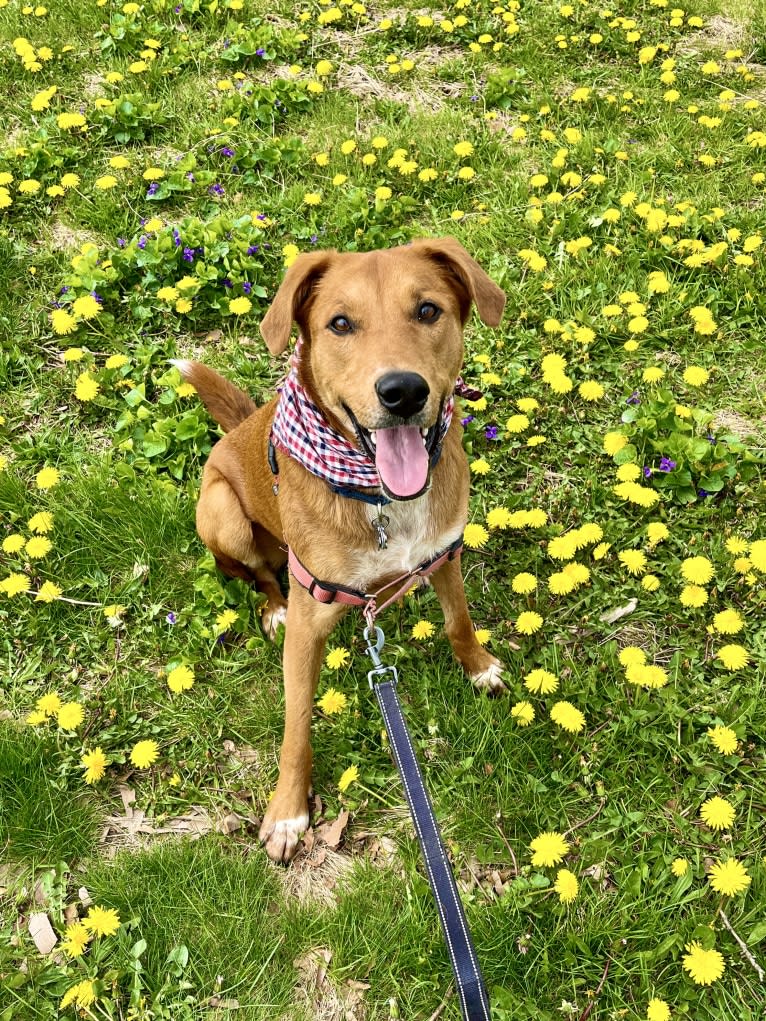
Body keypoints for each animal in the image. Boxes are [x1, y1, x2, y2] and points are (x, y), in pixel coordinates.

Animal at [176, 238, 506, 861]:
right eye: (340, 324)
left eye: (428, 310)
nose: (403, 392)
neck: (380, 499)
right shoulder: (311, 622)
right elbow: (296, 725)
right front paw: (287, 811)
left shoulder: (443, 554)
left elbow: (458, 622)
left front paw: (478, 668)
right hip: (223, 516)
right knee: (259, 572)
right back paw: (271, 606)